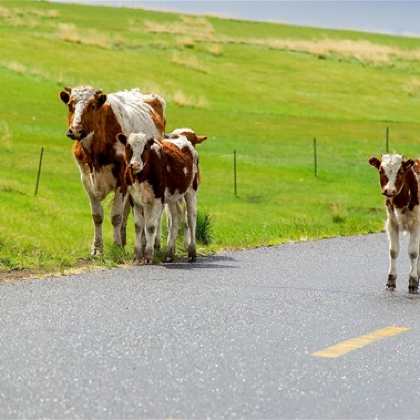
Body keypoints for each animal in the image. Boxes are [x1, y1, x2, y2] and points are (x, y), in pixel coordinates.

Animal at [60, 85, 167, 254]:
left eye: (92, 106)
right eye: (70, 104)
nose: (75, 130)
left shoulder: (122, 180)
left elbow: (116, 216)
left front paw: (116, 247)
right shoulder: (86, 179)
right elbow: (97, 215)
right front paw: (98, 248)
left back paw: (149, 243)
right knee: (128, 211)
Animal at [116, 130, 207, 264]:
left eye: (145, 147)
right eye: (128, 146)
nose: (135, 165)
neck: (140, 177)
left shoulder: (157, 199)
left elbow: (150, 226)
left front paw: (149, 255)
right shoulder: (135, 199)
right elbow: (138, 226)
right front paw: (137, 255)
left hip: (191, 190)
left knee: (190, 219)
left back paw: (192, 253)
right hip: (172, 197)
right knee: (175, 219)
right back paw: (169, 254)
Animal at [368, 153, 420, 294]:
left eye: (401, 172)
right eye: (381, 171)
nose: (389, 191)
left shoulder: (417, 225)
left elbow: (413, 252)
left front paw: (413, 281)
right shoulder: (391, 223)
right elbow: (393, 251)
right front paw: (391, 280)